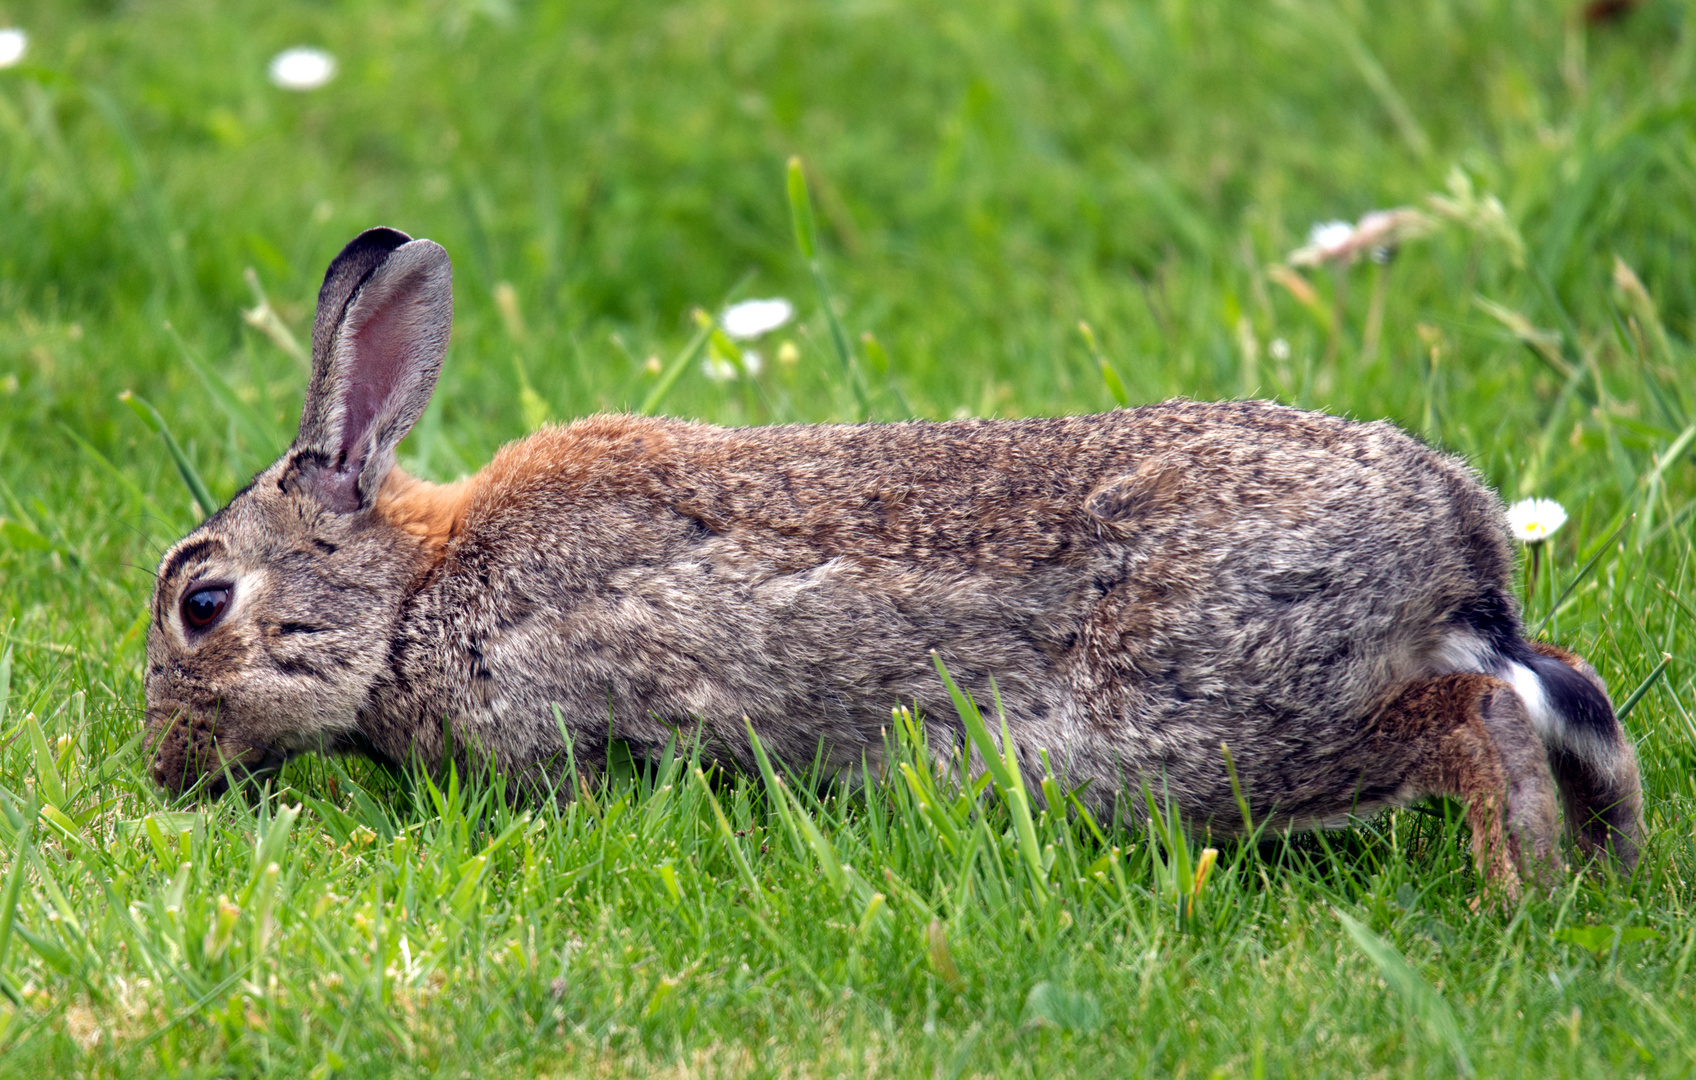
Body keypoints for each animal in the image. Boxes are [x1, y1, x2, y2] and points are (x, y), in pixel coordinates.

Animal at [149, 227, 1641, 895]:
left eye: (202, 603)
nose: (165, 771)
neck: (411, 596)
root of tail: (1451, 538)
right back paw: (1613, 872)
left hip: (1214, 722)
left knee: (1473, 720)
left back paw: (1520, 895)